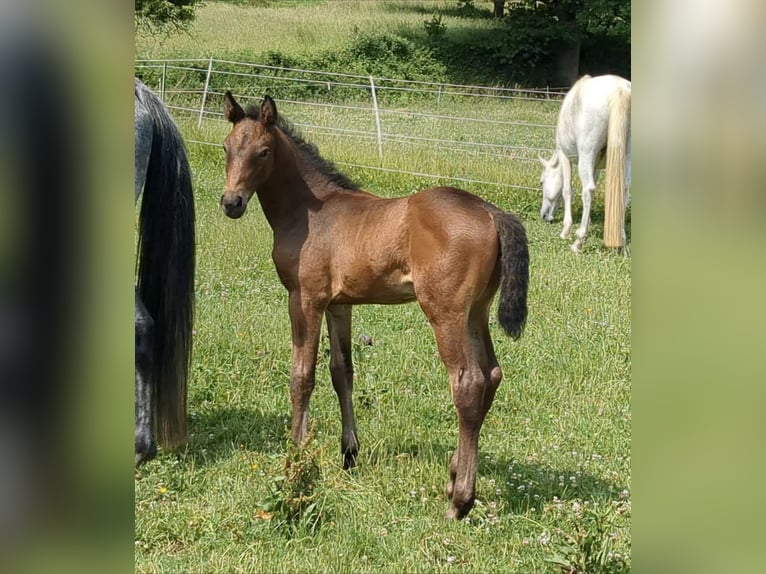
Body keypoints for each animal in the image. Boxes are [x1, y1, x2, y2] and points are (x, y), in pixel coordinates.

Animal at [220, 92, 529, 520]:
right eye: (227, 147)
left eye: (263, 152)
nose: (231, 203)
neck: (310, 210)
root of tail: (491, 211)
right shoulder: (339, 305)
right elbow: (341, 371)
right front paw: (349, 454)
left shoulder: (305, 298)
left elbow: (302, 376)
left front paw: (295, 458)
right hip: (476, 311)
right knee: (492, 374)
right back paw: (454, 476)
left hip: (445, 312)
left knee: (468, 383)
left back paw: (459, 501)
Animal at [539, 74, 631, 252]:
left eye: (541, 182)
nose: (544, 215)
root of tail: (620, 89)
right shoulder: (596, 166)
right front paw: (586, 223)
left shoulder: (565, 156)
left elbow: (567, 190)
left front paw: (566, 230)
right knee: (623, 190)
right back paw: (621, 242)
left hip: (586, 154)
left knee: (588, 190)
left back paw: (578, 242)